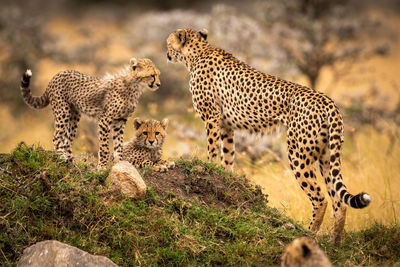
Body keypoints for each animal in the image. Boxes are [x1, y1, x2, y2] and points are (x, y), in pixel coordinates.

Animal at [20, 58, 161, 170]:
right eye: (152, 75)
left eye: (157, 75)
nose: (159, 84)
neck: (135, 85)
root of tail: (58, 74)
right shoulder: (105, 120)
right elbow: (104, 147)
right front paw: (102, 167)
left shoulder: (120, 121)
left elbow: (118, 145)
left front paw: (119, 163)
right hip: (63, 112)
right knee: (57, 137)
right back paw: (61, 157)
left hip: (74, 116)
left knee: (67, 140)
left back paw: (72, 162)